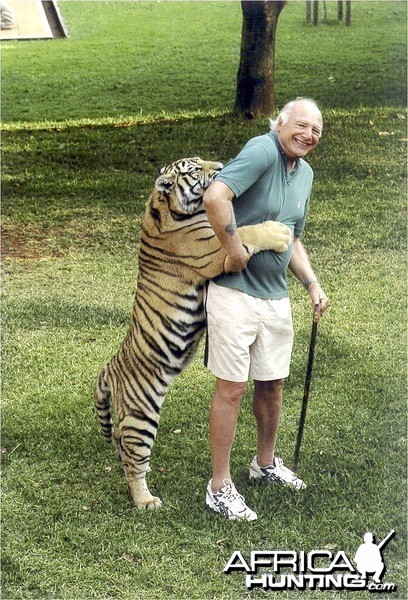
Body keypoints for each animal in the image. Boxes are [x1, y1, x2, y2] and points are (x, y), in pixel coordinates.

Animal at [93, 157, 290, 508]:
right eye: (195, 169)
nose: (221, 165)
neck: (167, 207)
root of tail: (108, 370)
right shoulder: (217, 252)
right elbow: (246, 230)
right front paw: (278, 231)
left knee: (120, 443)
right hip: (141, 417)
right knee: (133, 458)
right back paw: (145, 501)